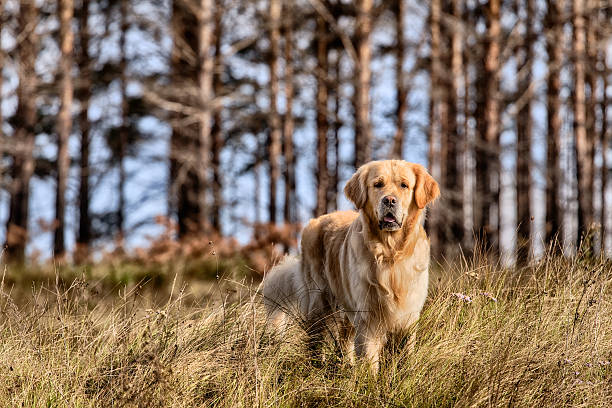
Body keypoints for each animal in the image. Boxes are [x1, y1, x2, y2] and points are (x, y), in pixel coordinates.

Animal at [262, 161, 440, 372]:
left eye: (404, 185)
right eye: (378, 184)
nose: (389, 200)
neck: (390, 255)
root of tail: (316, 220)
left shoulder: (408, 316)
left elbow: (404, 356)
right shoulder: (368, 317)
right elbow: (370, 359)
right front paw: (370, 380)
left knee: (344, 338)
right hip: (318, 302)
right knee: (316, 340)